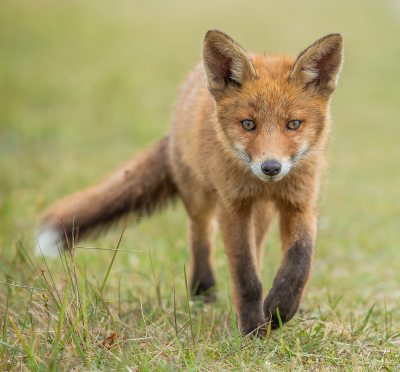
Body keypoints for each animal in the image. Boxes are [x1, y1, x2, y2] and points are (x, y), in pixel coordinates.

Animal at [36, 30, 344, 336]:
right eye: (248, 124)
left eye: (293, 124)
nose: (271, 167)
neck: (266, 186)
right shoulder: (231, 205)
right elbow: (244, 274)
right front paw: (251, 327)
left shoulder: (300, 203)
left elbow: (300, 260)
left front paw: (280, 308)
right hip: (200, 198)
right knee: (201, 234)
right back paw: (203, 291)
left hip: (260, 212)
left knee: (255, 246)